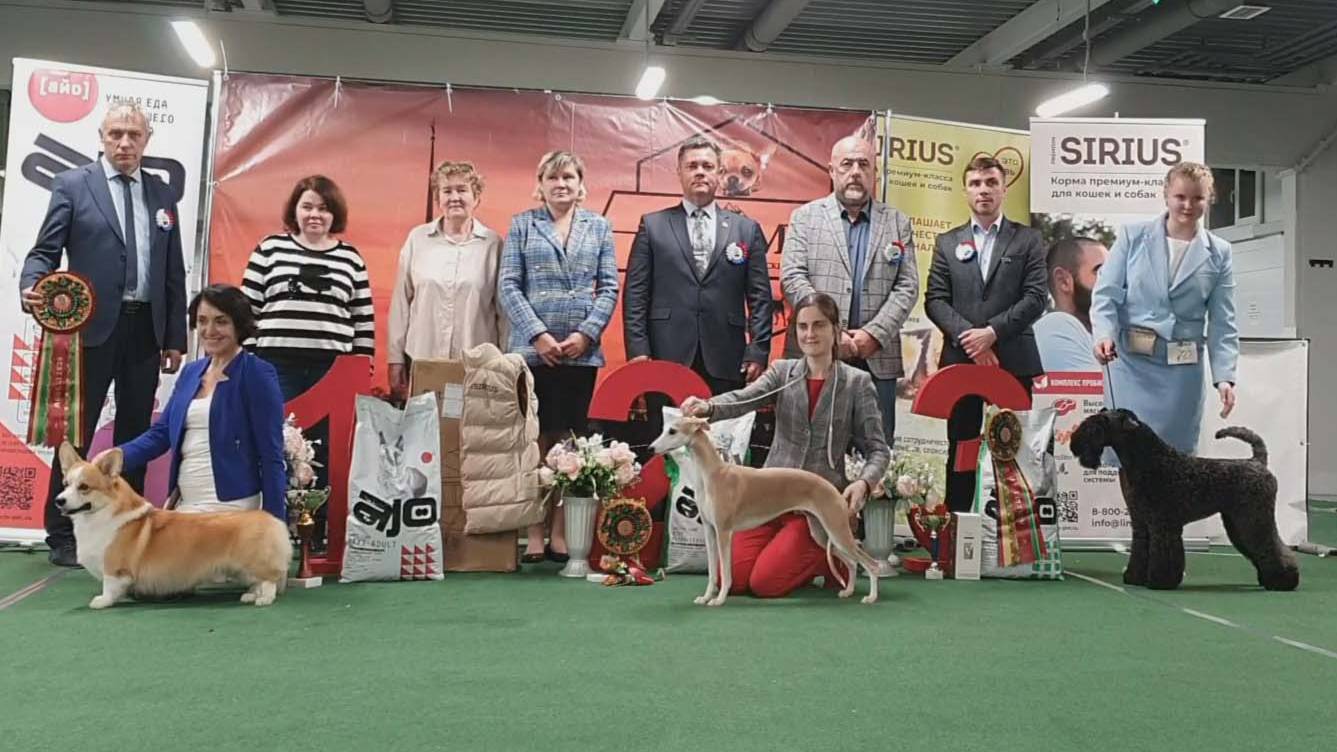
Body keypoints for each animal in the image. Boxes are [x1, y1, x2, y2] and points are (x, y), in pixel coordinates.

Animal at [55, 442, 292, 609]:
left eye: (84, 487)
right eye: (66, 484)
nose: (59, 500)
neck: (100, 515)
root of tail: (271, 519)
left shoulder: (115, 568)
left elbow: (109, 586)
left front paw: (102, 601)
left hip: (254, 562)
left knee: (269, 580)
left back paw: (263, 599)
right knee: (258, 582)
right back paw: (251, 595)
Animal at [1069, 409, 1298, 591]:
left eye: (1099, 424)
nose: (1074, 443)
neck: (1151, 460)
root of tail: (1258, 461)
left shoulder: (1162, 524)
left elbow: (1164, 554)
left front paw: (1160, 581)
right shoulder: (1142, 524)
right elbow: (1140, 551)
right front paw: (1134, 577)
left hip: (1253, 519)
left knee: (1271, 546)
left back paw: (1284, 581)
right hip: (1237, 522)